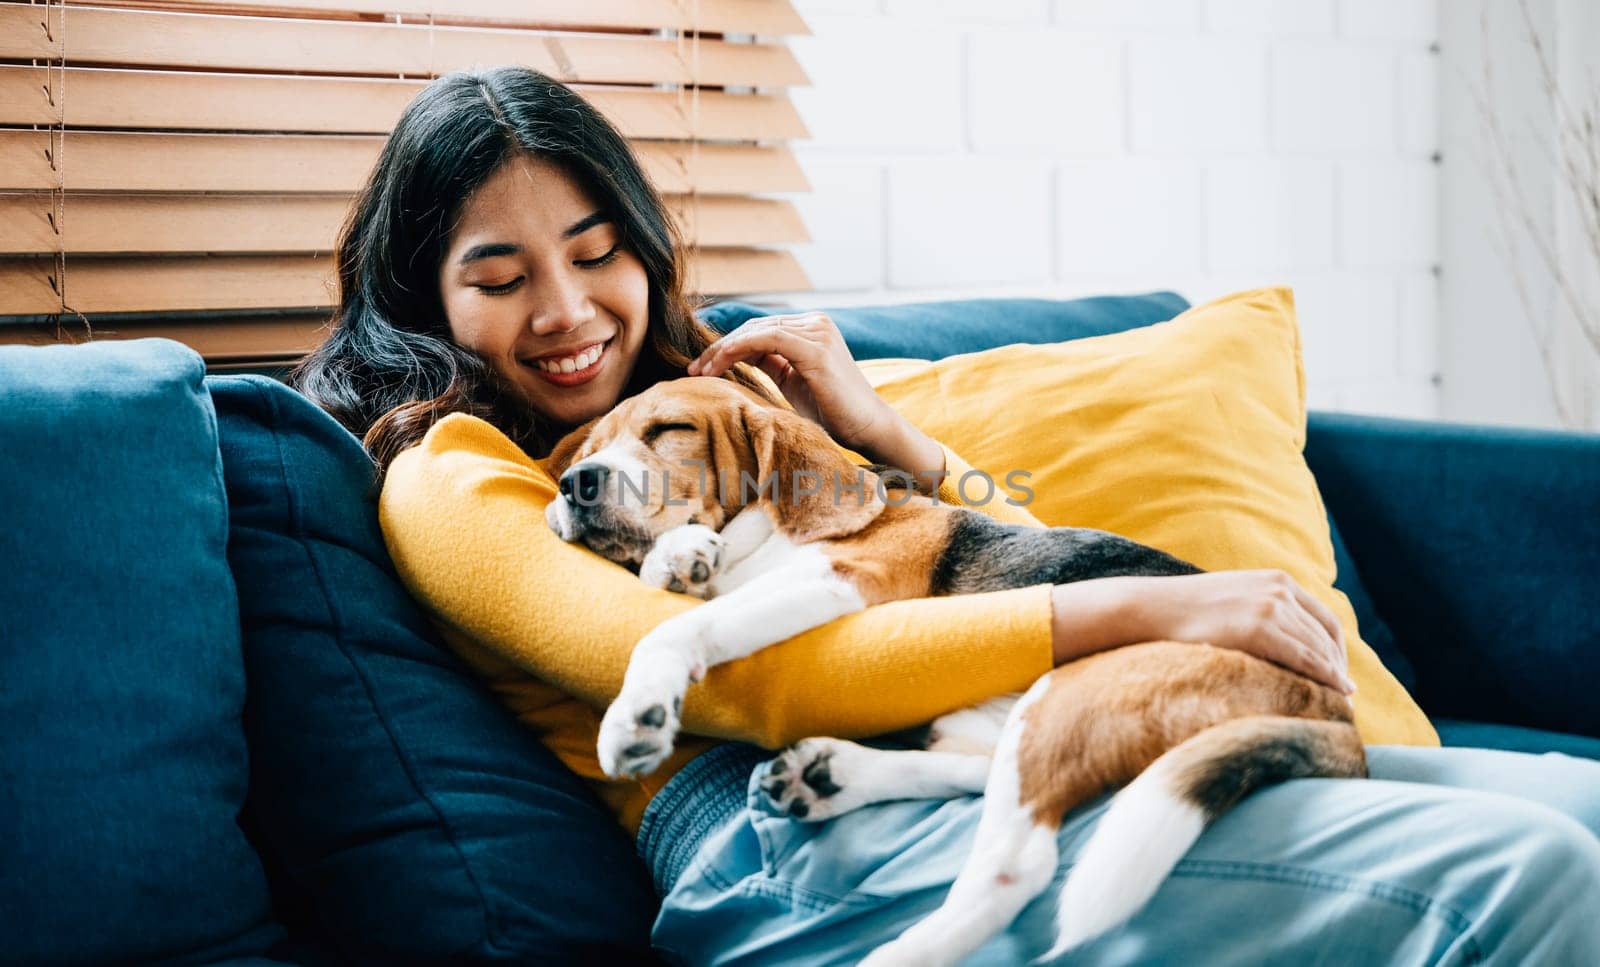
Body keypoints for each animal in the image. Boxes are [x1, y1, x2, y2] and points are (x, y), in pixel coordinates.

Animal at [544, 376, 1356, 960]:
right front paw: (679, 558)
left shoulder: (845, 582)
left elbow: (680, 628)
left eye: (669, 430)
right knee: (977, 770)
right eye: (593, 445)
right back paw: (833, 776)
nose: (574, 483)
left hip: (1074, 691)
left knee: (1015, 862)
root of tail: (1338, 713)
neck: (764, 530)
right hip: (1015, 712)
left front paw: (638, 712)